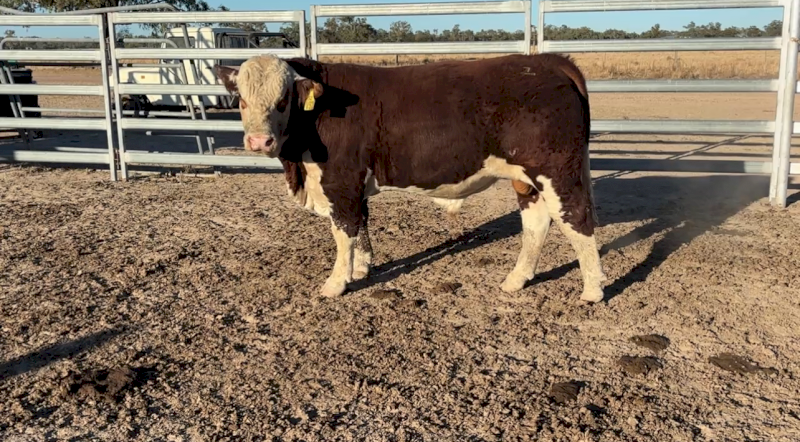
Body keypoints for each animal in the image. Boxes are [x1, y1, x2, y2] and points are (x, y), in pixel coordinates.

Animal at [213, 53, 606, 303]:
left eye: (283, 100)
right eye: (241, 101)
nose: (258, 141)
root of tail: (548, 61)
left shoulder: (341, 181)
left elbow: (344, 232)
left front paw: (336, 283)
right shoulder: (356, 184)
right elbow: (362, 224)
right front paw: (362, 269)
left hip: (557, 171)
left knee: (577, 220)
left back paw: (592, 291)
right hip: (526, 178)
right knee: (536, 223)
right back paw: (516, 280)